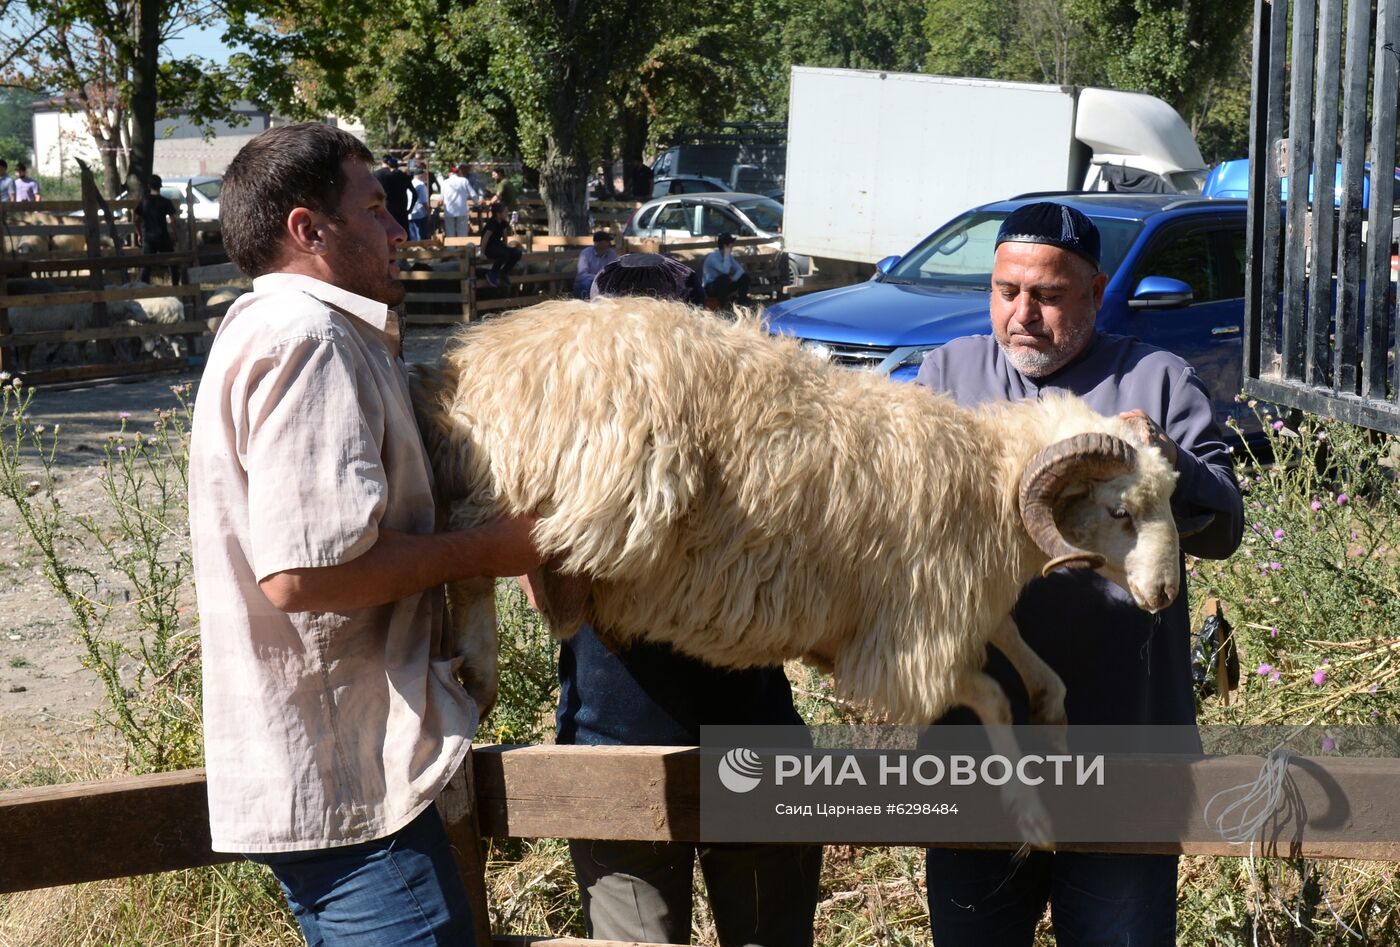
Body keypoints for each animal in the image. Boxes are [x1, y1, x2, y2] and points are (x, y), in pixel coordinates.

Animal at [408, 299, 1181, 840]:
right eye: (1118, 510)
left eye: (1169, 497)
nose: (1167, 591)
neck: (988, 481)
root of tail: (472, 356)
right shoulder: (903, 645)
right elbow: (991, 695)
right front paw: (1031, 813)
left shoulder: (958, 600)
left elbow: (1027, 654)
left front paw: (1054, 722)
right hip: (545, 490)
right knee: (466, 552)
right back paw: (478, 671)